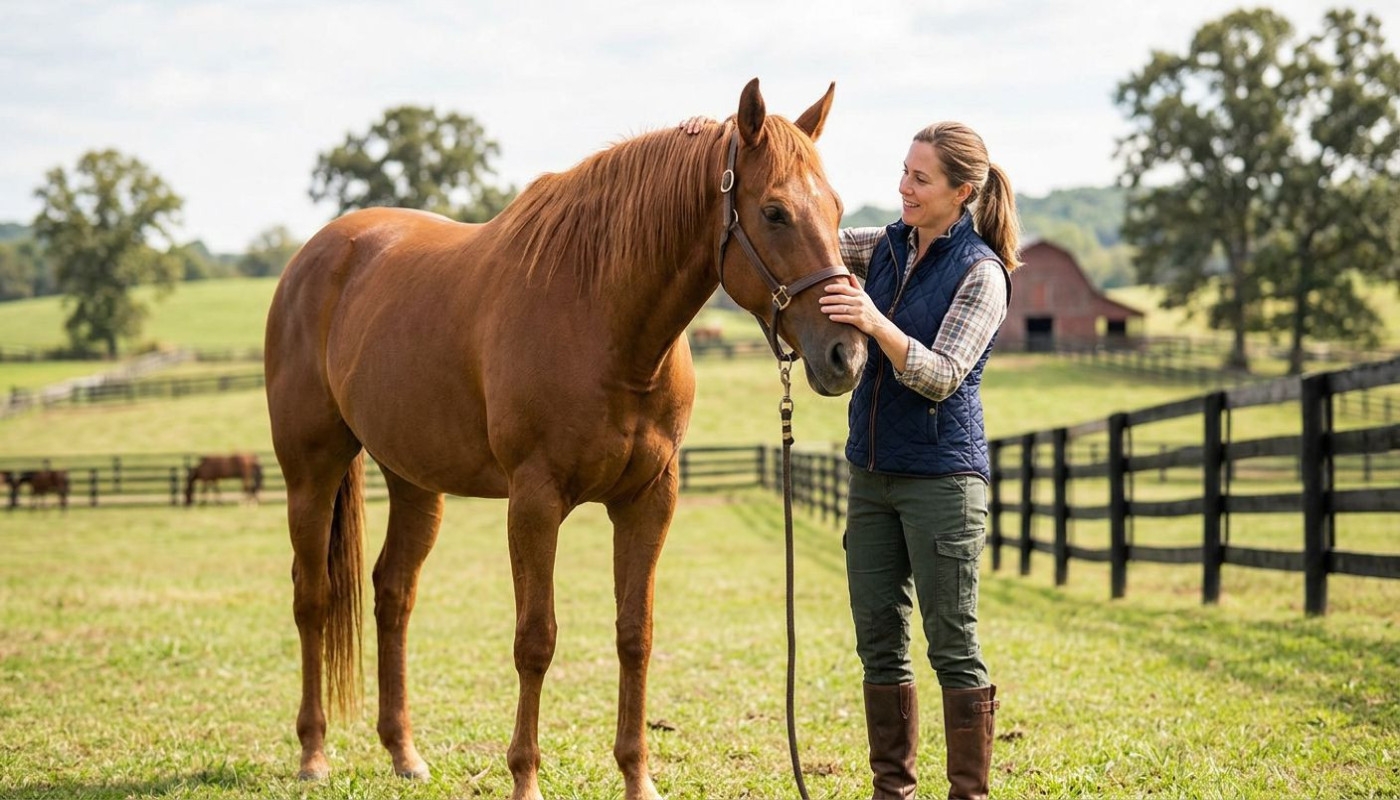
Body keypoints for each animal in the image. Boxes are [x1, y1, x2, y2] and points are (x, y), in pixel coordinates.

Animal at [263, 78, 866, 799]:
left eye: (836, 208)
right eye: (774, 211)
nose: (847, 354)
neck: (600, 316)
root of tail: (319, 254)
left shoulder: (648, 500)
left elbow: (635, 634)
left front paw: (637, 777)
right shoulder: (535, 501)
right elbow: (536, 639)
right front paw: (524, 777)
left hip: (413, 482)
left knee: (393, 593)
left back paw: (403, 751)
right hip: (311, 472)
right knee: (312, 597)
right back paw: (312, 753)